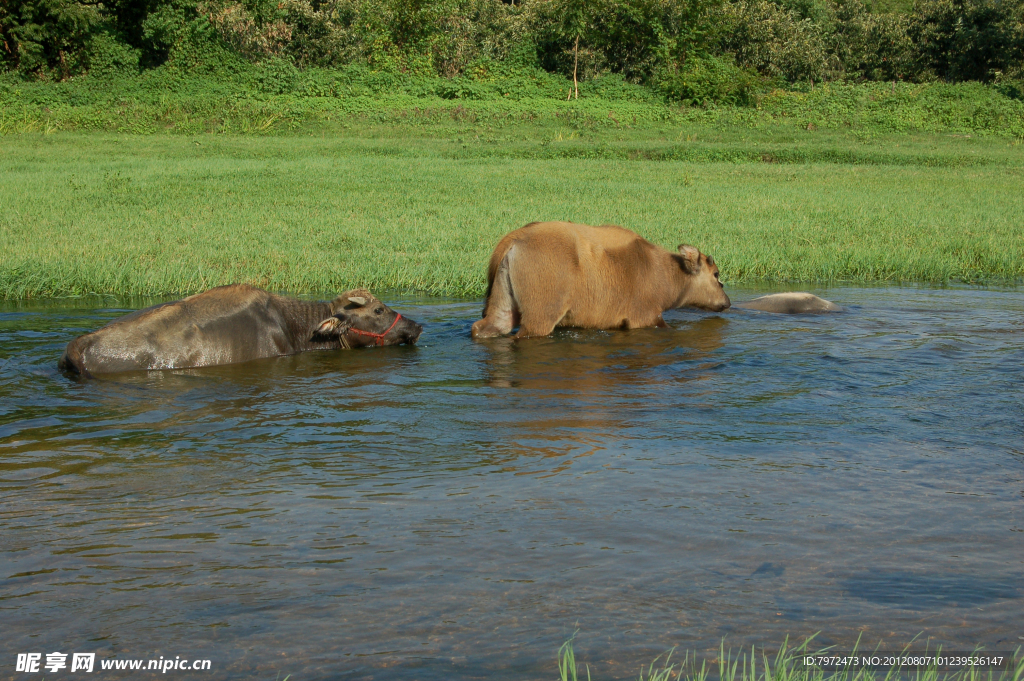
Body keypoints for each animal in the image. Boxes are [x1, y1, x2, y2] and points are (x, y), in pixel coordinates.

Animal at [471, 220, 729, 337]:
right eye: (716, 274)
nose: (726, 301)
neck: (666, 275)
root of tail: (514, 239)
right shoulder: (645, 317)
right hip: (540, 316)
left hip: (502, 304)